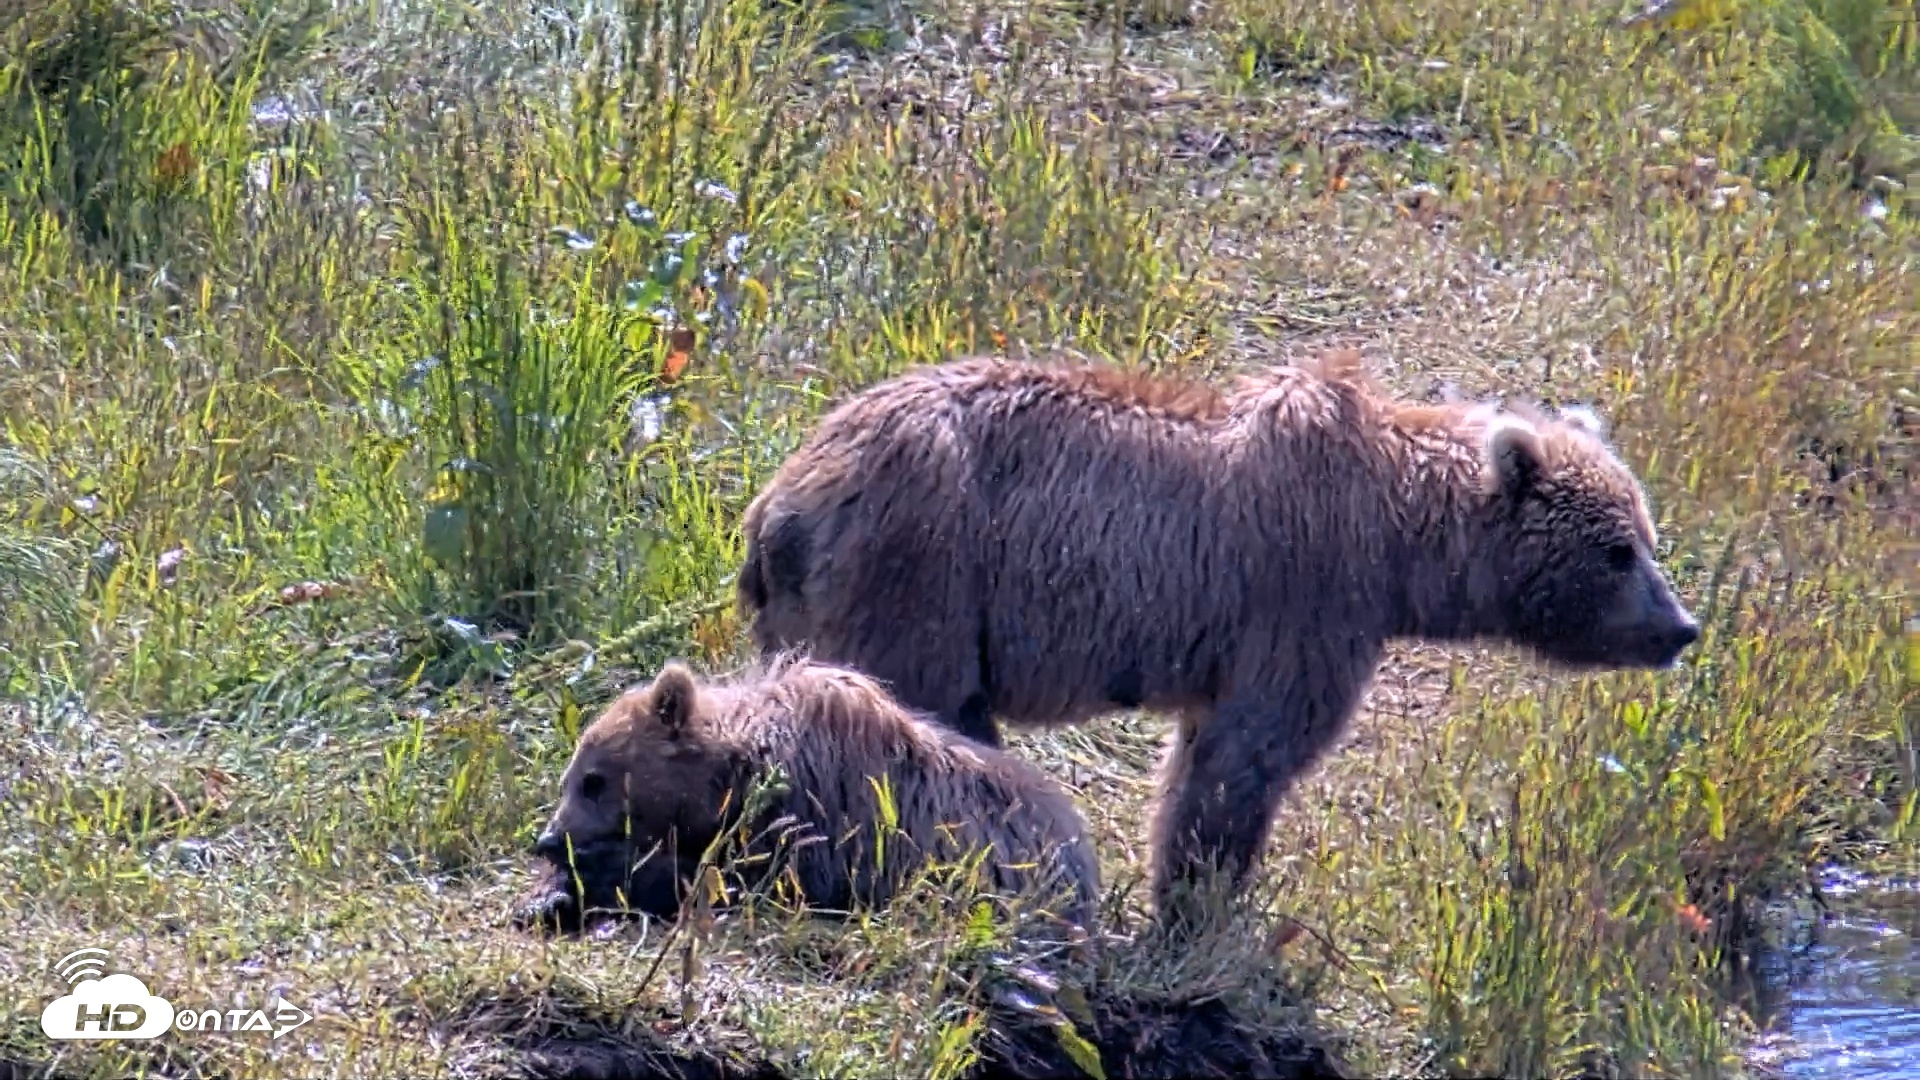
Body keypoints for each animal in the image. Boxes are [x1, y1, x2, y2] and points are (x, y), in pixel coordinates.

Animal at [516, 653, 1101, 935]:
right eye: (571, 777)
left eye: (593, 780)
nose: (547, 839)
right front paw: (551, 895)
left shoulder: (823, 811)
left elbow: (748, 881)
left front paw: (593, 877)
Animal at [734, 350, 1701, 925]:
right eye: (1619, 549)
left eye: (1645, 535)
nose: (1682, 627)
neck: (1400, 541)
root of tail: (780, 498)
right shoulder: (1304, 599)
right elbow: (1247, 759)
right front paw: (1203, 912)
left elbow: (1209, 751)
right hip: (920, 570)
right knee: (918, 722)